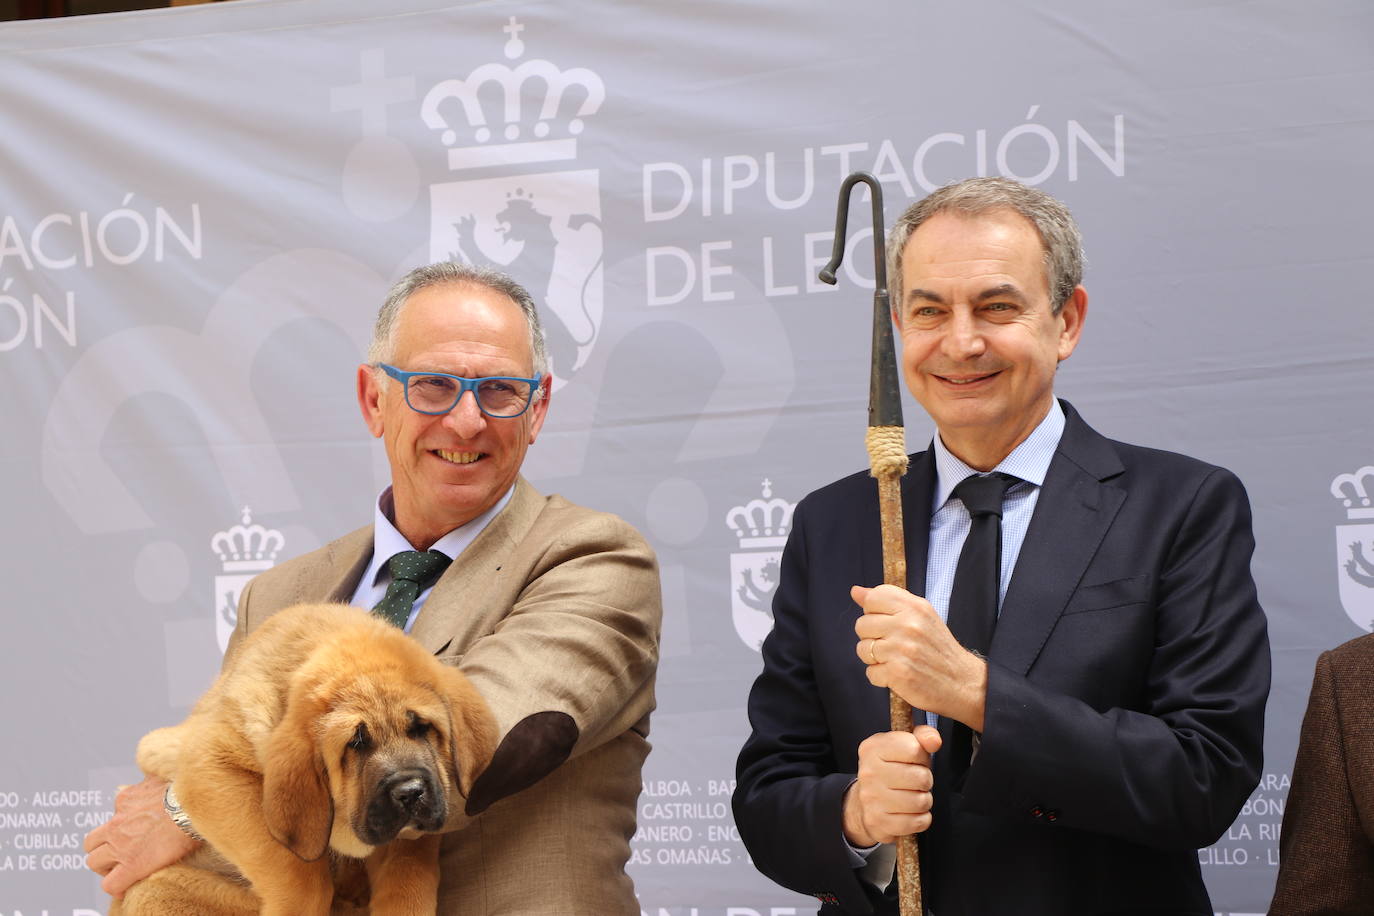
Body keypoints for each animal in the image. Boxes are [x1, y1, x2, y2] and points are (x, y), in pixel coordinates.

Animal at [108, 601, 494, 916]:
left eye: (422, 727)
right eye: (356, 742)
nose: (410, 793)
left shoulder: (408, 841)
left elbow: (408, 885)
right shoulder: (211, 766)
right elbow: (298, 874)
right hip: (154, 891)